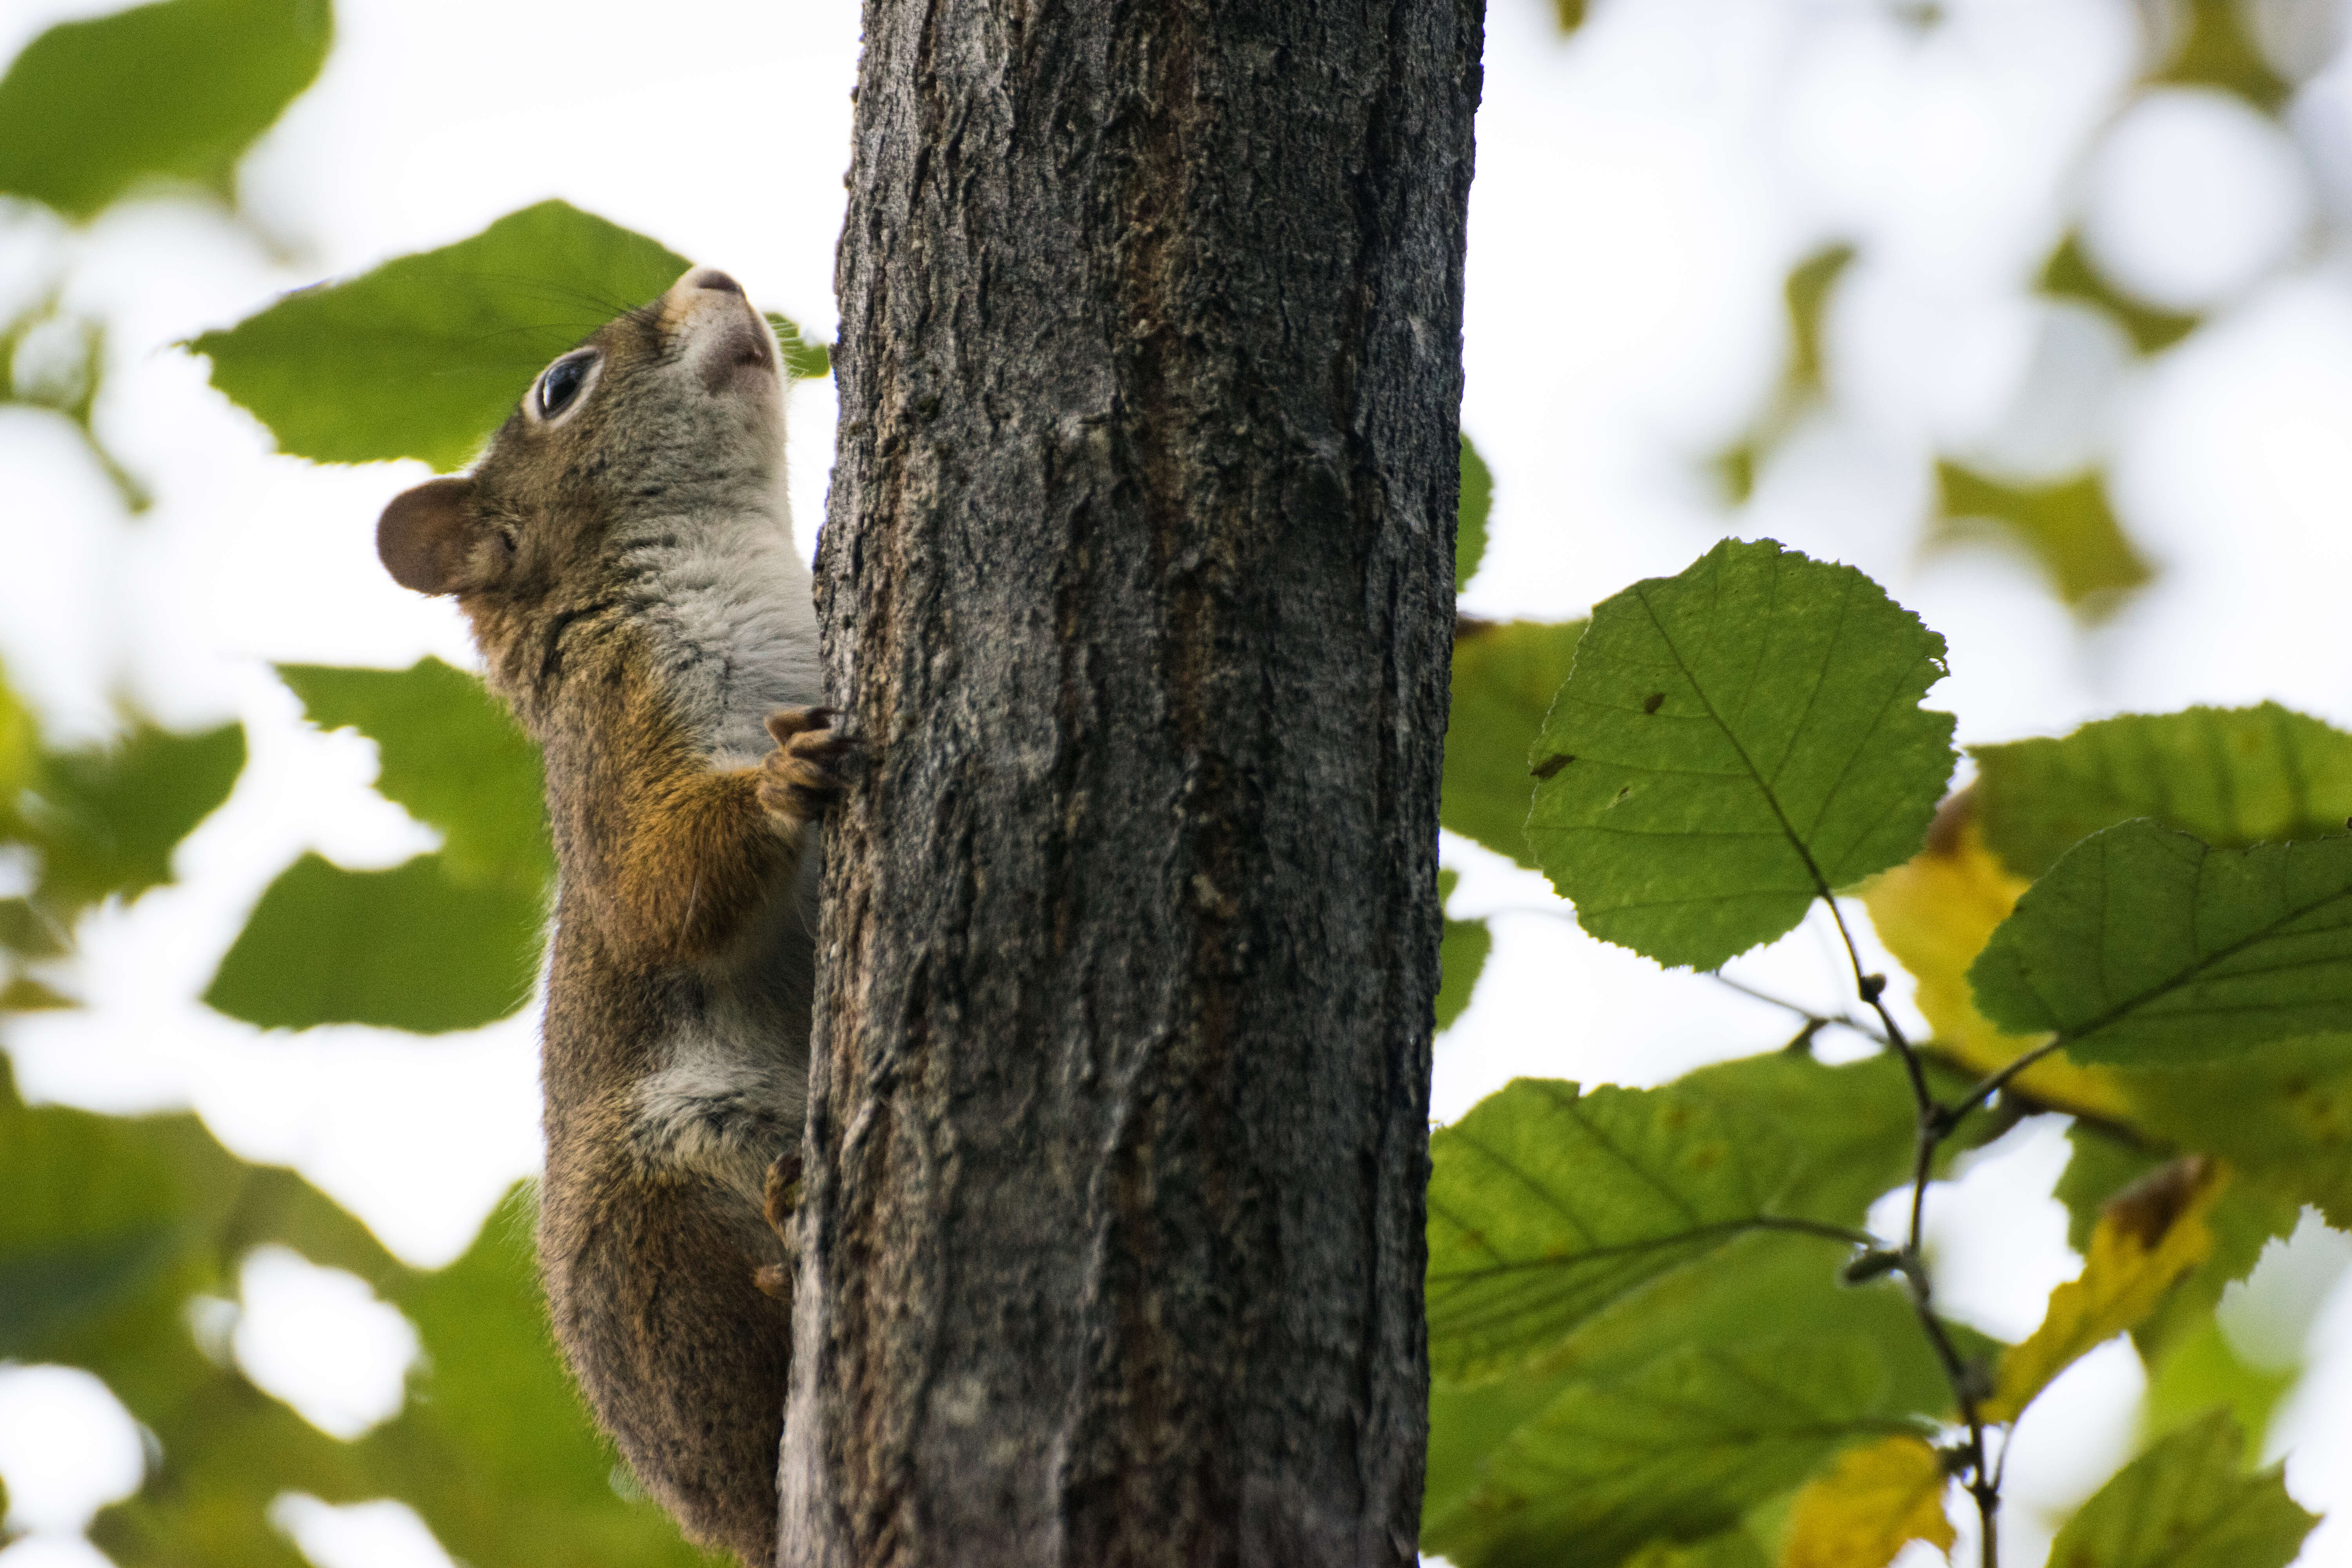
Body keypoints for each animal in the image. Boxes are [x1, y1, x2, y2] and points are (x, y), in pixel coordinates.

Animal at [372, 263, 842, 1561]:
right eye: (561, 386)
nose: (714, 275)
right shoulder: (614, 736)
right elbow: (653, 892)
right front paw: (776, 785)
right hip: (654, 1219)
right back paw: (780, 1260)